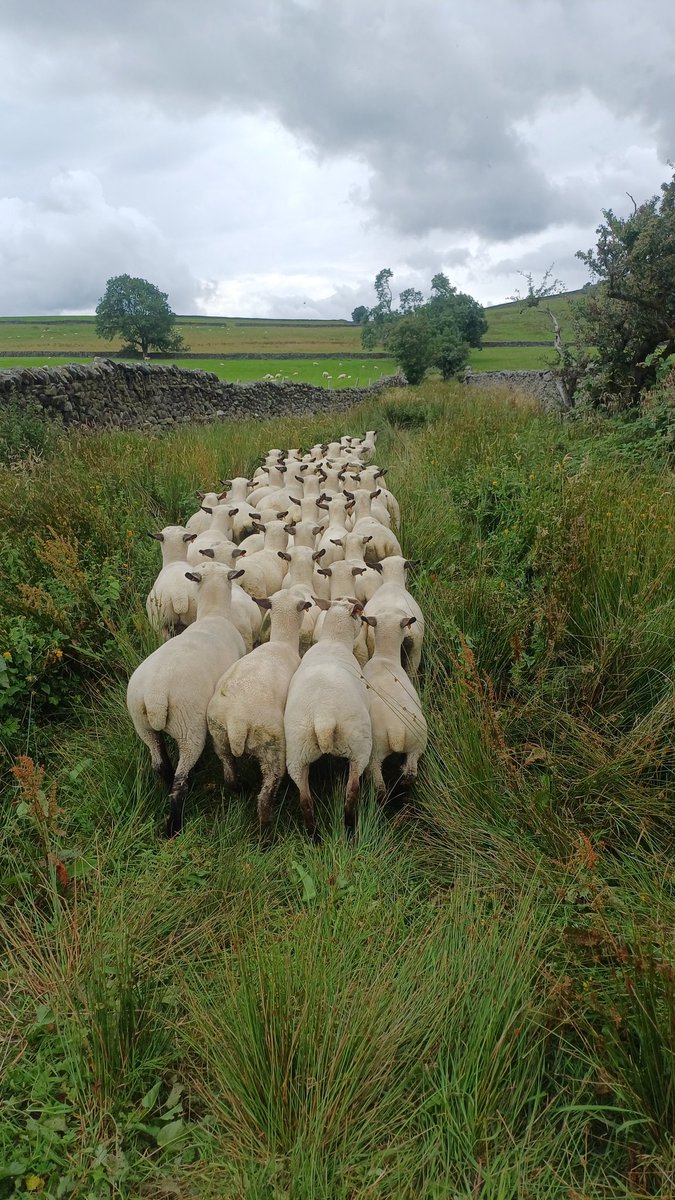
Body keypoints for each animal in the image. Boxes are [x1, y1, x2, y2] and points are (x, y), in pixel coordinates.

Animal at [127, 562, 246, 836]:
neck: (213, 614)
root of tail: (155, 696)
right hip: (188, 728)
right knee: (180, 781)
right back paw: (174, 826)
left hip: (142, 724)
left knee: (159, 763)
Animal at [207, 591, 313, 828]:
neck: (282, 641)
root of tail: (236, 722)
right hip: (272, 747)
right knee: (265, 796)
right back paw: (267, 830)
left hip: (219, 738)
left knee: (229, 775)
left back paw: (241, 788)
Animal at [284, 598, 372, 836]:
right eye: (359, 615)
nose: (365, 620)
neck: (334, 640)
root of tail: (324, 718)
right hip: (359, 748)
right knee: (351, 792)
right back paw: (350, 829)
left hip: (297, 754)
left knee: (305, 801)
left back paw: (313, 837)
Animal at [361, 611, 427, 796]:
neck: (385, 657)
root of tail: (397, 731)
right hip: (417, 744)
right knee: (411, 772)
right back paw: (404, 780)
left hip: (375, 751)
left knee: (378, 782)